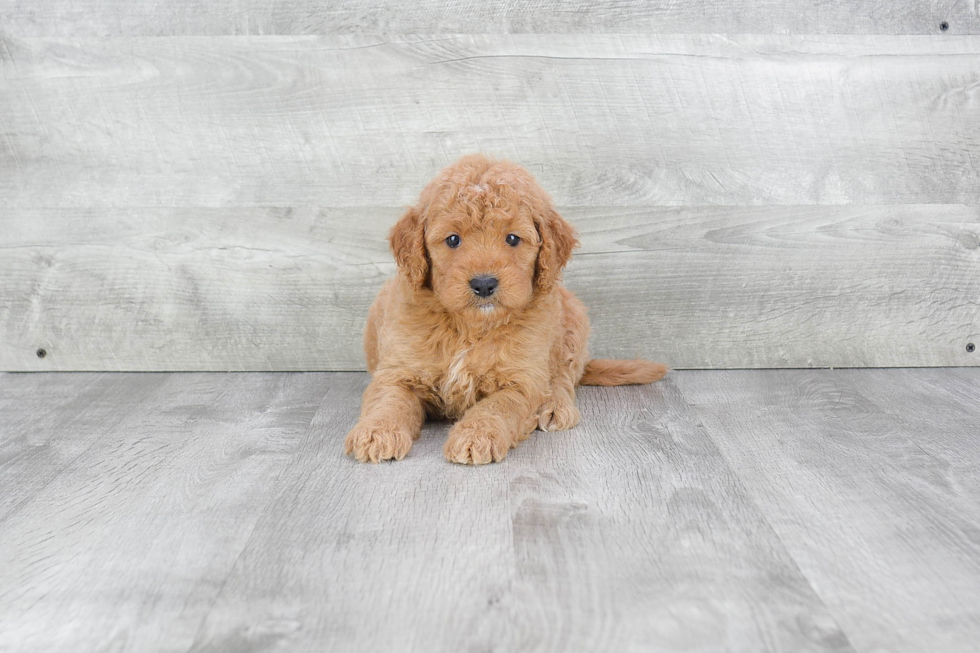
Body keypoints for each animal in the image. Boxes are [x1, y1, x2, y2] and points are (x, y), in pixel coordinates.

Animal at [342, 153, 668, 464]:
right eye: (452, 239)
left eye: (512, 238)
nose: (484, 284)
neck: (470, 327)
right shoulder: (398, 371)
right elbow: (388, 401)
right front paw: (376, 432)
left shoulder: (522, 381)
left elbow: (497, 407)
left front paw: (476, 436)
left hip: (573, 321)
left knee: (563, 376)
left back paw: (554, 406)